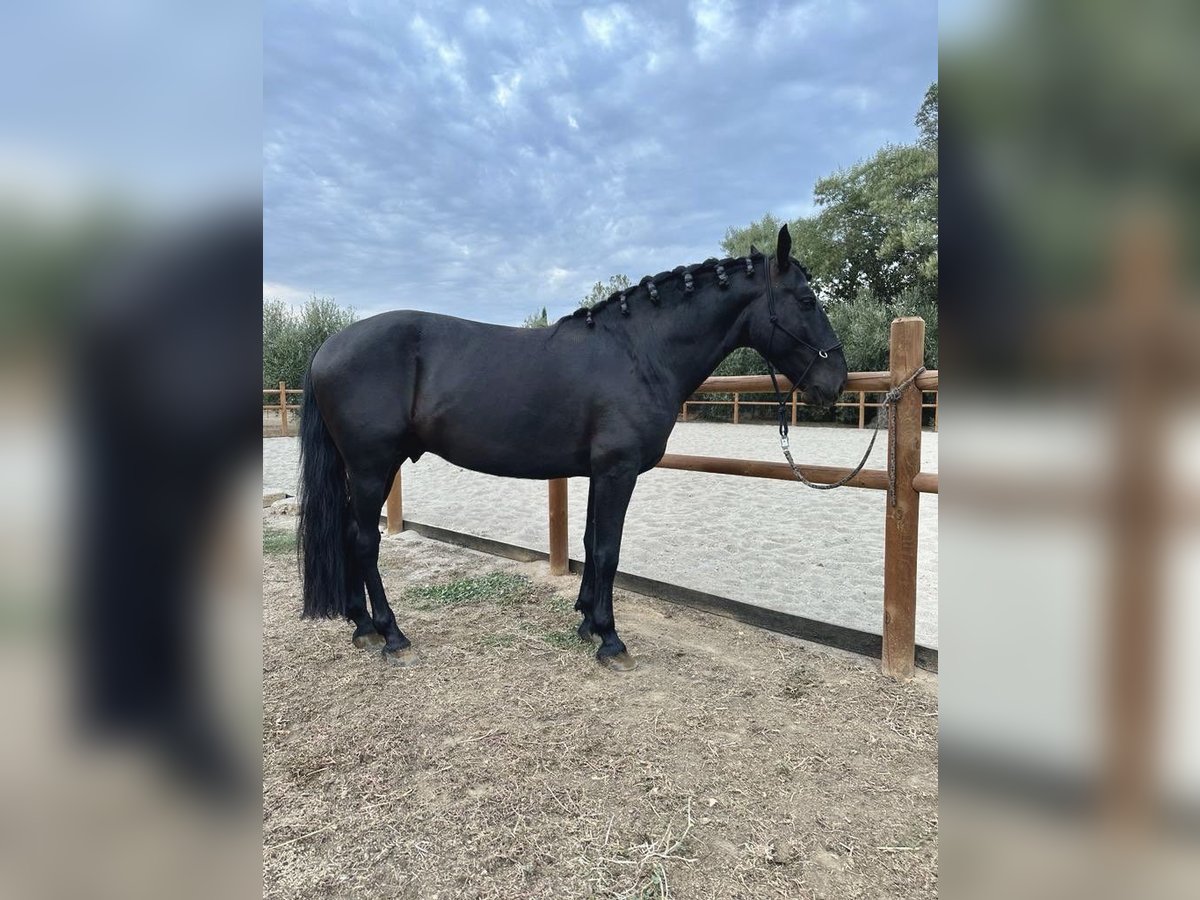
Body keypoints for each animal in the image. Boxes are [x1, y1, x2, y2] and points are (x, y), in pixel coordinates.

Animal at [297, 229, 844, 672]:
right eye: (806, 299)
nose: (834, 381)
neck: (638, 351)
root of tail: (328, 346)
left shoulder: (599, 472)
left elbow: (589, 541)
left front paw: (586, 622)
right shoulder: (619, 472)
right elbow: (608, 550)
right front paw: (611, 640)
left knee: (347, 534)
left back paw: (362, 626)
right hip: (371, 467)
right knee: (364, 541)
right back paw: (391, 634)